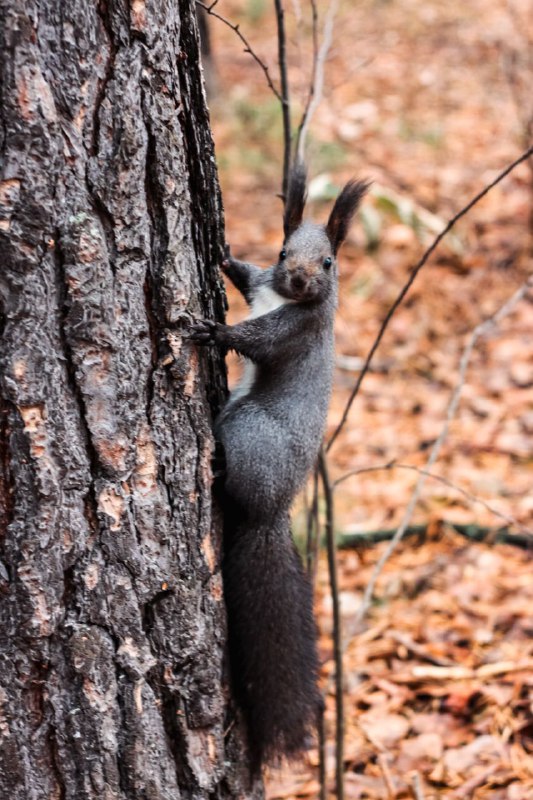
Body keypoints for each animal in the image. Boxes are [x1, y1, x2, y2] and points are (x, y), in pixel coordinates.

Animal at [189, 164, 368, 768]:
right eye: (284, 250)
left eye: (329, 263)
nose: (297, 281)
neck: (284, 300)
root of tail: (273, 511)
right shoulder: (261, 288)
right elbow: (245, 277)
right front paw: (223, 255)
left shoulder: (291, 333)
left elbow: (256, 341)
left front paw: (213, 332)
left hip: (249, 428)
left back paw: (218, 470)